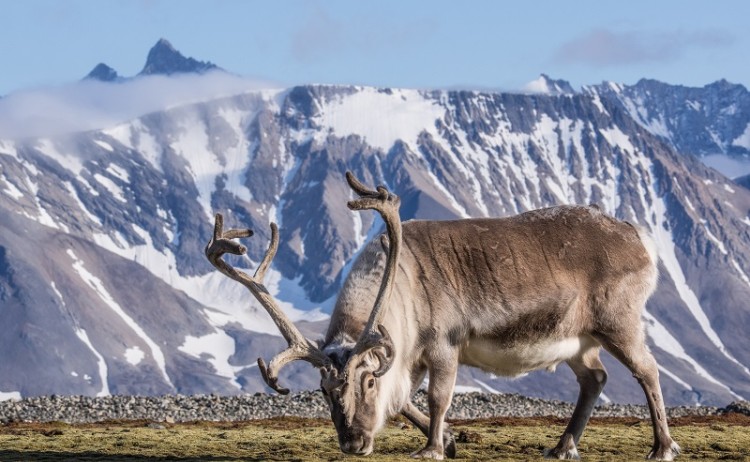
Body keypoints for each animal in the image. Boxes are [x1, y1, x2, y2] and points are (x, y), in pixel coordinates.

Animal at [205, 171, 680, 460]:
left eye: (368, 381)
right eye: (323, 390)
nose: (354, 443)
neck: (399, 287)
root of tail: (639, 237)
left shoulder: (443, 344)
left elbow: (436, 397)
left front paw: (432, 447)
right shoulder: (407, 356)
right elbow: (402, 402)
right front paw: (449, 438)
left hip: (618, 321)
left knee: (648, 370)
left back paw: (662, 446)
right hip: (578, 341)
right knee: (595, 378)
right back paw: (563, 446)